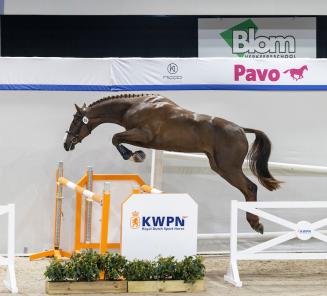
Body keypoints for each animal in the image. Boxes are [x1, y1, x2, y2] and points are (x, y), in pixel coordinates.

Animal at [64, 94, 282, 234]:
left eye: (75, 121)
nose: (66, 144)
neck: (134, 107)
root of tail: (241, 129)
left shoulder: (143, 134)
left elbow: (115, 138)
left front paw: (135, 156)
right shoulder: (142, 138)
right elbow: (117, 139)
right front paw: (136, 154)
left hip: (229, 168)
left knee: (250, 187)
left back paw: (255, 223)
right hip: (219, 167)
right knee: (247, 189)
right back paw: (255, 222)